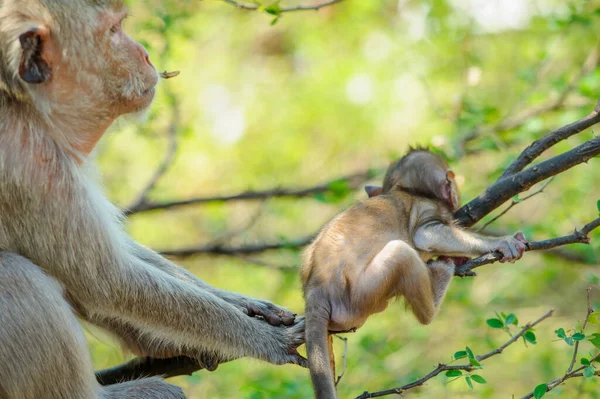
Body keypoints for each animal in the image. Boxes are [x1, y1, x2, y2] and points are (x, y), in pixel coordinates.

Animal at [0, 1, 308, 398]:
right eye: (113, 32)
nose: (145, 54)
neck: (25, 104)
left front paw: (244, 304)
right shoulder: (29, 159)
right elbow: (107, 279)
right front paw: (263, 338)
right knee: (15, 272)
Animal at [302, 148, 528, 398]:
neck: (404, 189)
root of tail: (315, 287)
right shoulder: (429, 208)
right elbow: (425, 234)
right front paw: (501, 242)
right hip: (359, 295)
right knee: (402, 253)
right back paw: (436, 287)